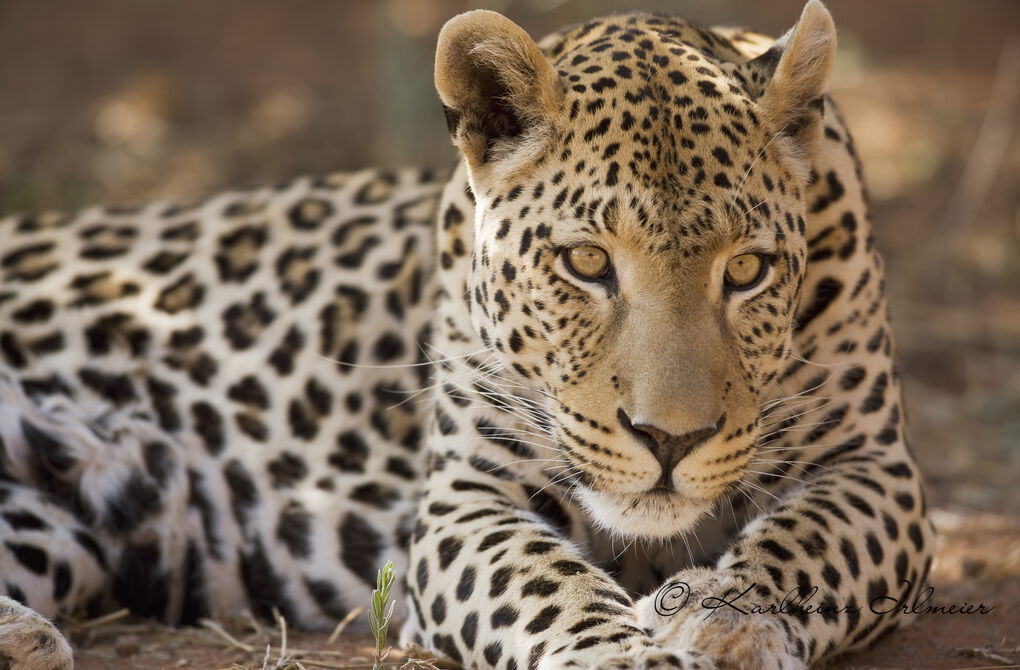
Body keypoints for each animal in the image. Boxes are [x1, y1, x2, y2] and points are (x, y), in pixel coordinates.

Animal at [0, 2, 934, 664]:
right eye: (587, 262)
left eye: (746, 271)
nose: (670, 440)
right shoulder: (468, 496)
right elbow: (551, 590)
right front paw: (634, 656)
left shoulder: (872, 468)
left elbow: (802, 549)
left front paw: (724, 623)